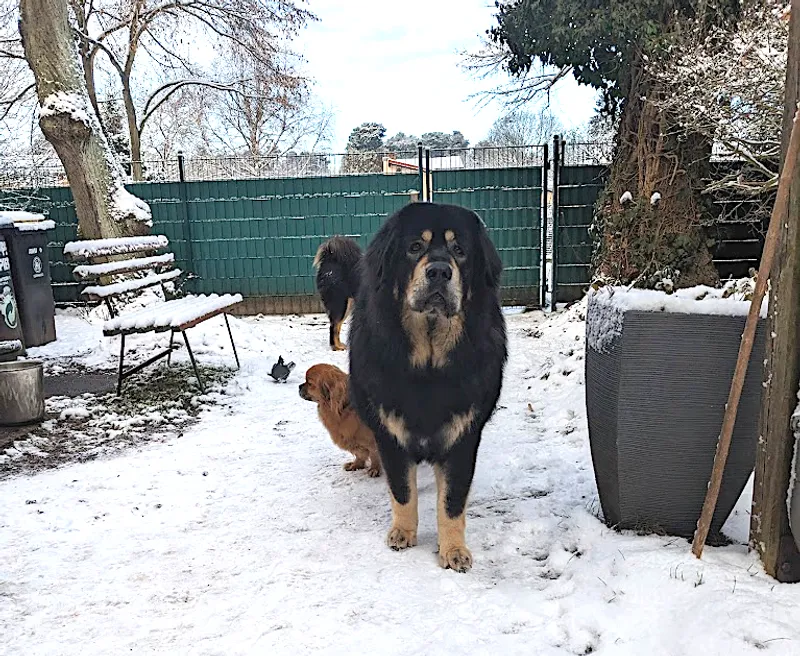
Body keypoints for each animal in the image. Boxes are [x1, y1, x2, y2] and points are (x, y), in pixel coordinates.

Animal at [348, 203, 507, 572]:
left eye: (459, 250)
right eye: (415, 247)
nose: (439, 272)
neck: (429, 369)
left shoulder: (463, 439)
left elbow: (451, 502)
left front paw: (453, 550)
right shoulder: (390, 435)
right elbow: (402, 491)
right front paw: (403, 533)